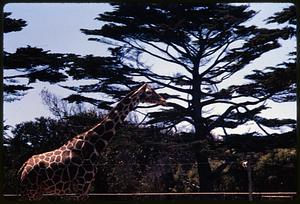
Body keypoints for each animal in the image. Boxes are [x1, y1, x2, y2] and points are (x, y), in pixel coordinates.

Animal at [18, 83, 166, 201]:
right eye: (149, 92)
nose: (163, 100)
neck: (94, 144)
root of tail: (23, 168)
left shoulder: (86, 187)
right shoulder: (81, 186)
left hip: (36, 192)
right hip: (31, 191)